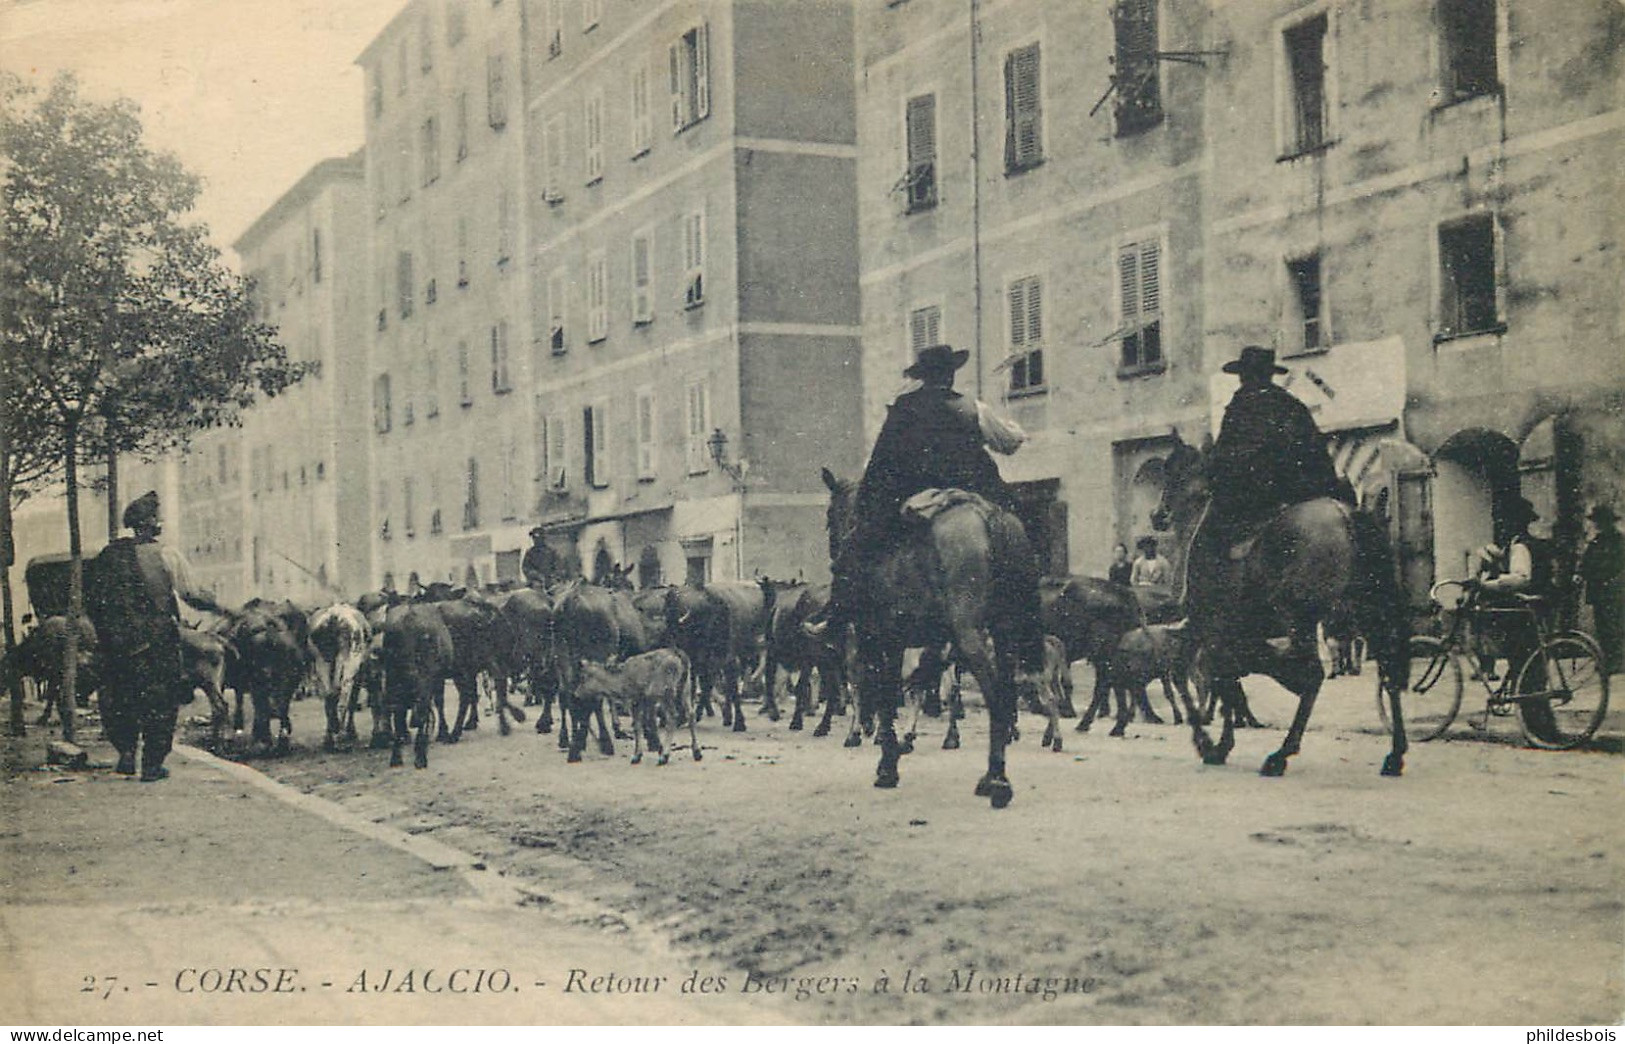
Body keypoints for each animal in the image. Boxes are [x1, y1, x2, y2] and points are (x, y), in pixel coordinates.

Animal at [825, 468, 1040, 809]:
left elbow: (884, 695)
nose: (835, 556)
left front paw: (887, 765)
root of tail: (988, 514)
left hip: (969, 635)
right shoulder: (896, 643)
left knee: (993, 695)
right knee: (1005, 692)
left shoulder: (878, 639)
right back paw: (990, 775)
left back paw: (998, 782)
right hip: (1005, 634)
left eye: (829, 516)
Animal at [1157, 429, 1410, 774]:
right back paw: (1395, 754)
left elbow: (1193, 672)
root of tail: (1346, 515)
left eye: (1174, 470)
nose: (1158, 516)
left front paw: (1207, 742)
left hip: (1301, 615)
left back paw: (1281, 754)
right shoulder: (1225, 633)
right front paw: (1221, 743)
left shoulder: (1204, 624)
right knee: (1388, 669)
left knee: (1315, 674)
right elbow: (1226, 677)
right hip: (1366, 611)